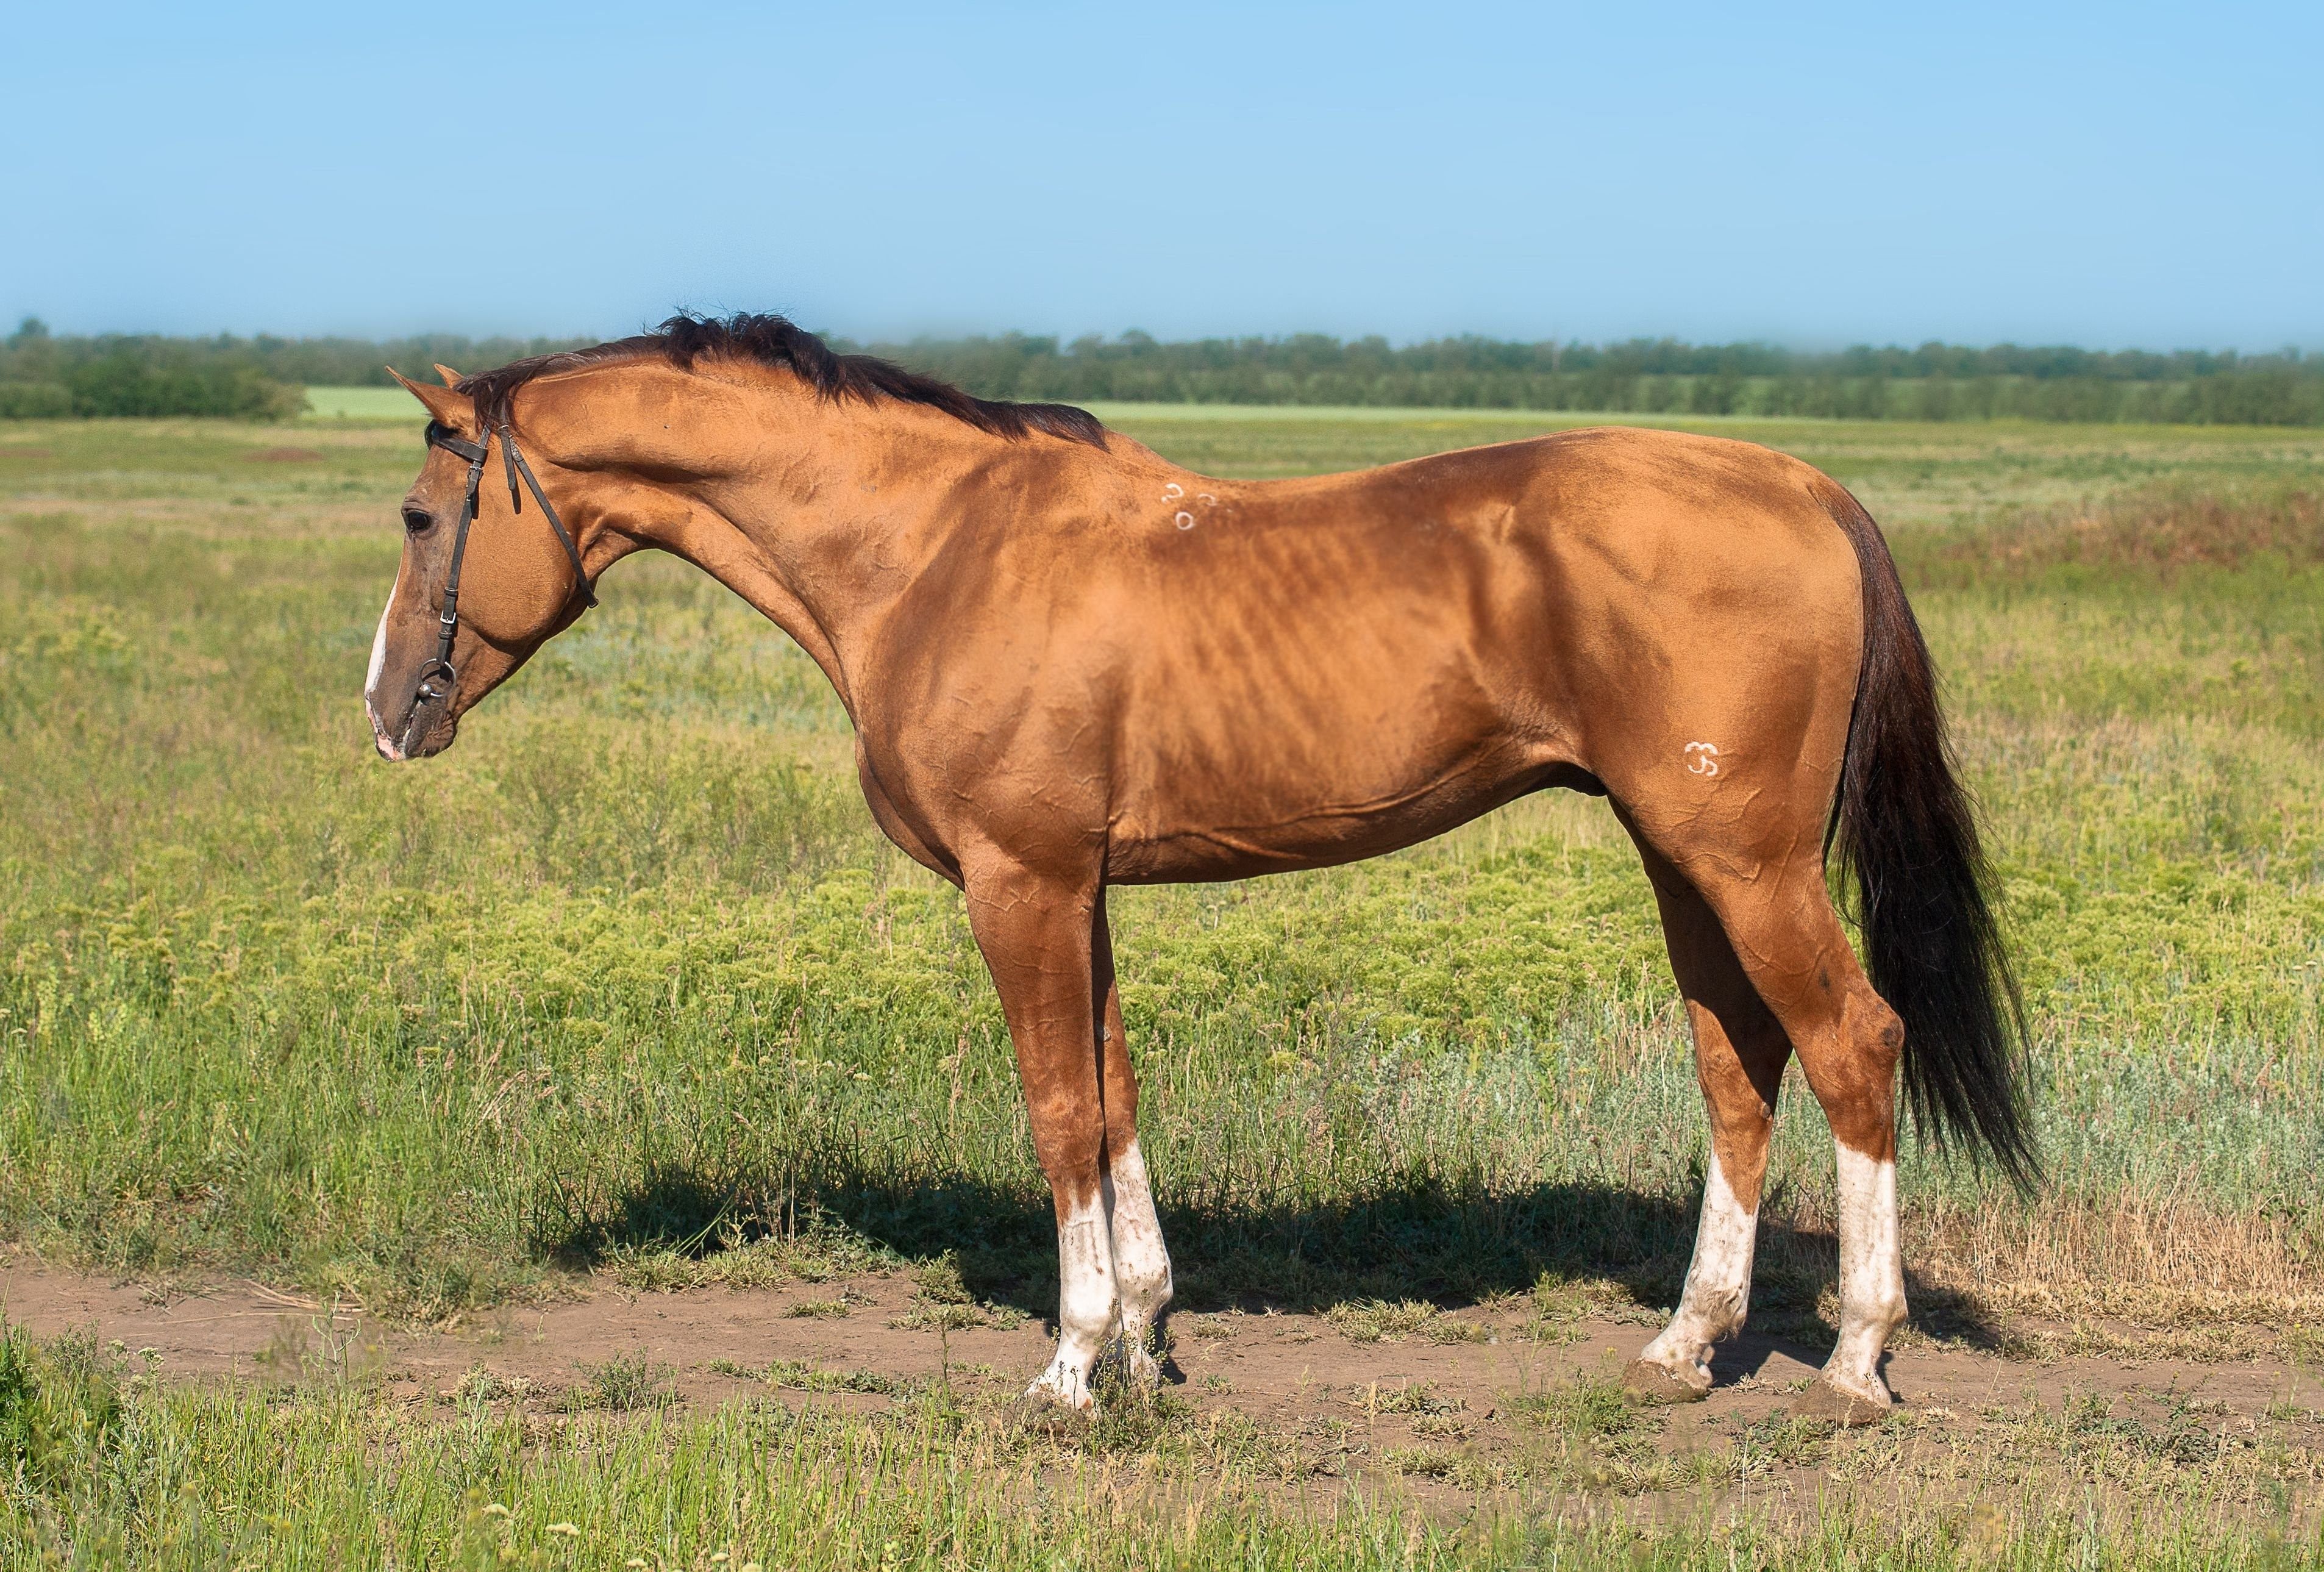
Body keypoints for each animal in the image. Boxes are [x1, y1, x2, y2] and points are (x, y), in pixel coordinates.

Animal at [367, 309, 2036, 1423]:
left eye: (421, 511)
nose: (390, 711)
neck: (937, 548)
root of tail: (1805, 486)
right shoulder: (1079, 886)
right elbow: (1112, 1095)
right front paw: (1145, 1339)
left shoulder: (1021, 882)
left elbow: (1056, 1110)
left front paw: (1066, 1367)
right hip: (1683, 862)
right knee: (1736, 1064)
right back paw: (1686, 1346)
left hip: (1741, 862)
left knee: (1853, 1042)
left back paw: (1856, 1358)